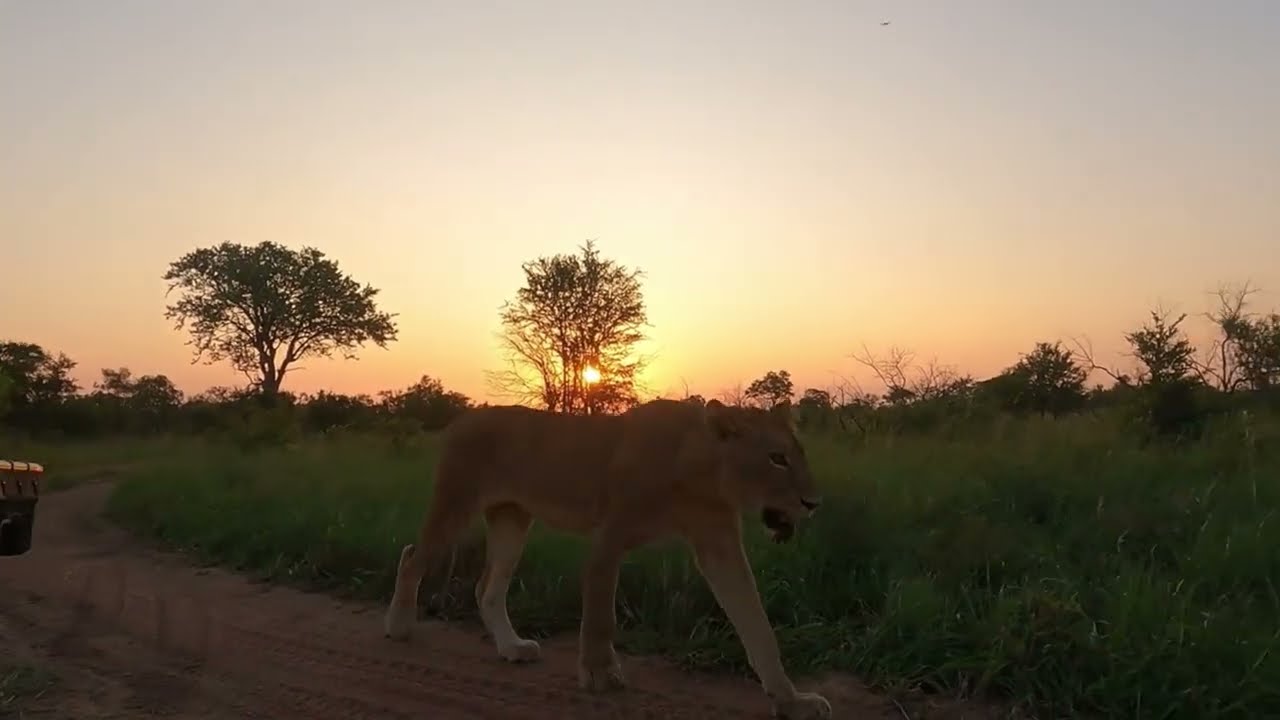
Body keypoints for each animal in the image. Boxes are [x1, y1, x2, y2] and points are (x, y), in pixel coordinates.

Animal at [383, 397, 832, 720]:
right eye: (777, 458)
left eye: (800, 454)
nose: (813, 503)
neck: (703, 474)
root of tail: (463, 416)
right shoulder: (608, 539)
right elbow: (601, 615)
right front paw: (599, 674)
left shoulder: (720, 545)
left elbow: (757, 625)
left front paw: (792, 701)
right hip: (455, 503)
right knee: (412, 557)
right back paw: (399, 626)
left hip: (512, 519)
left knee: (485, 588)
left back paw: (511, 647)